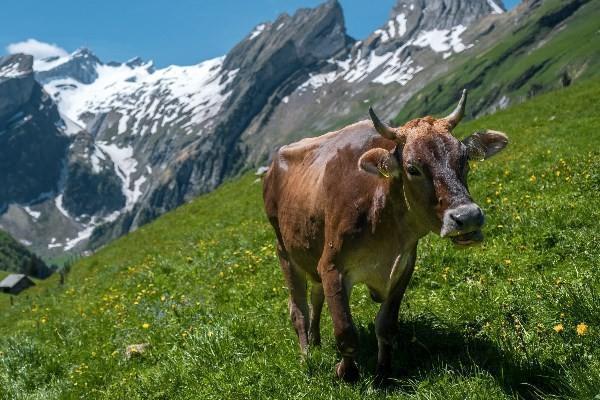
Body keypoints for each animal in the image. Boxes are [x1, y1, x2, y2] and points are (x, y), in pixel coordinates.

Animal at [262, 90, 506, 382]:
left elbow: (386, 326)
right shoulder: (331, 266)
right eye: (413, 168)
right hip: (284, 252)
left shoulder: (404, 267)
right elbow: (346, 332)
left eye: (464, 159)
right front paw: (346, 373)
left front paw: (383, 373)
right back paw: (306, 355)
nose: (467, 216)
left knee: (315, 297)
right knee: (298, 309)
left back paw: (316, 340)